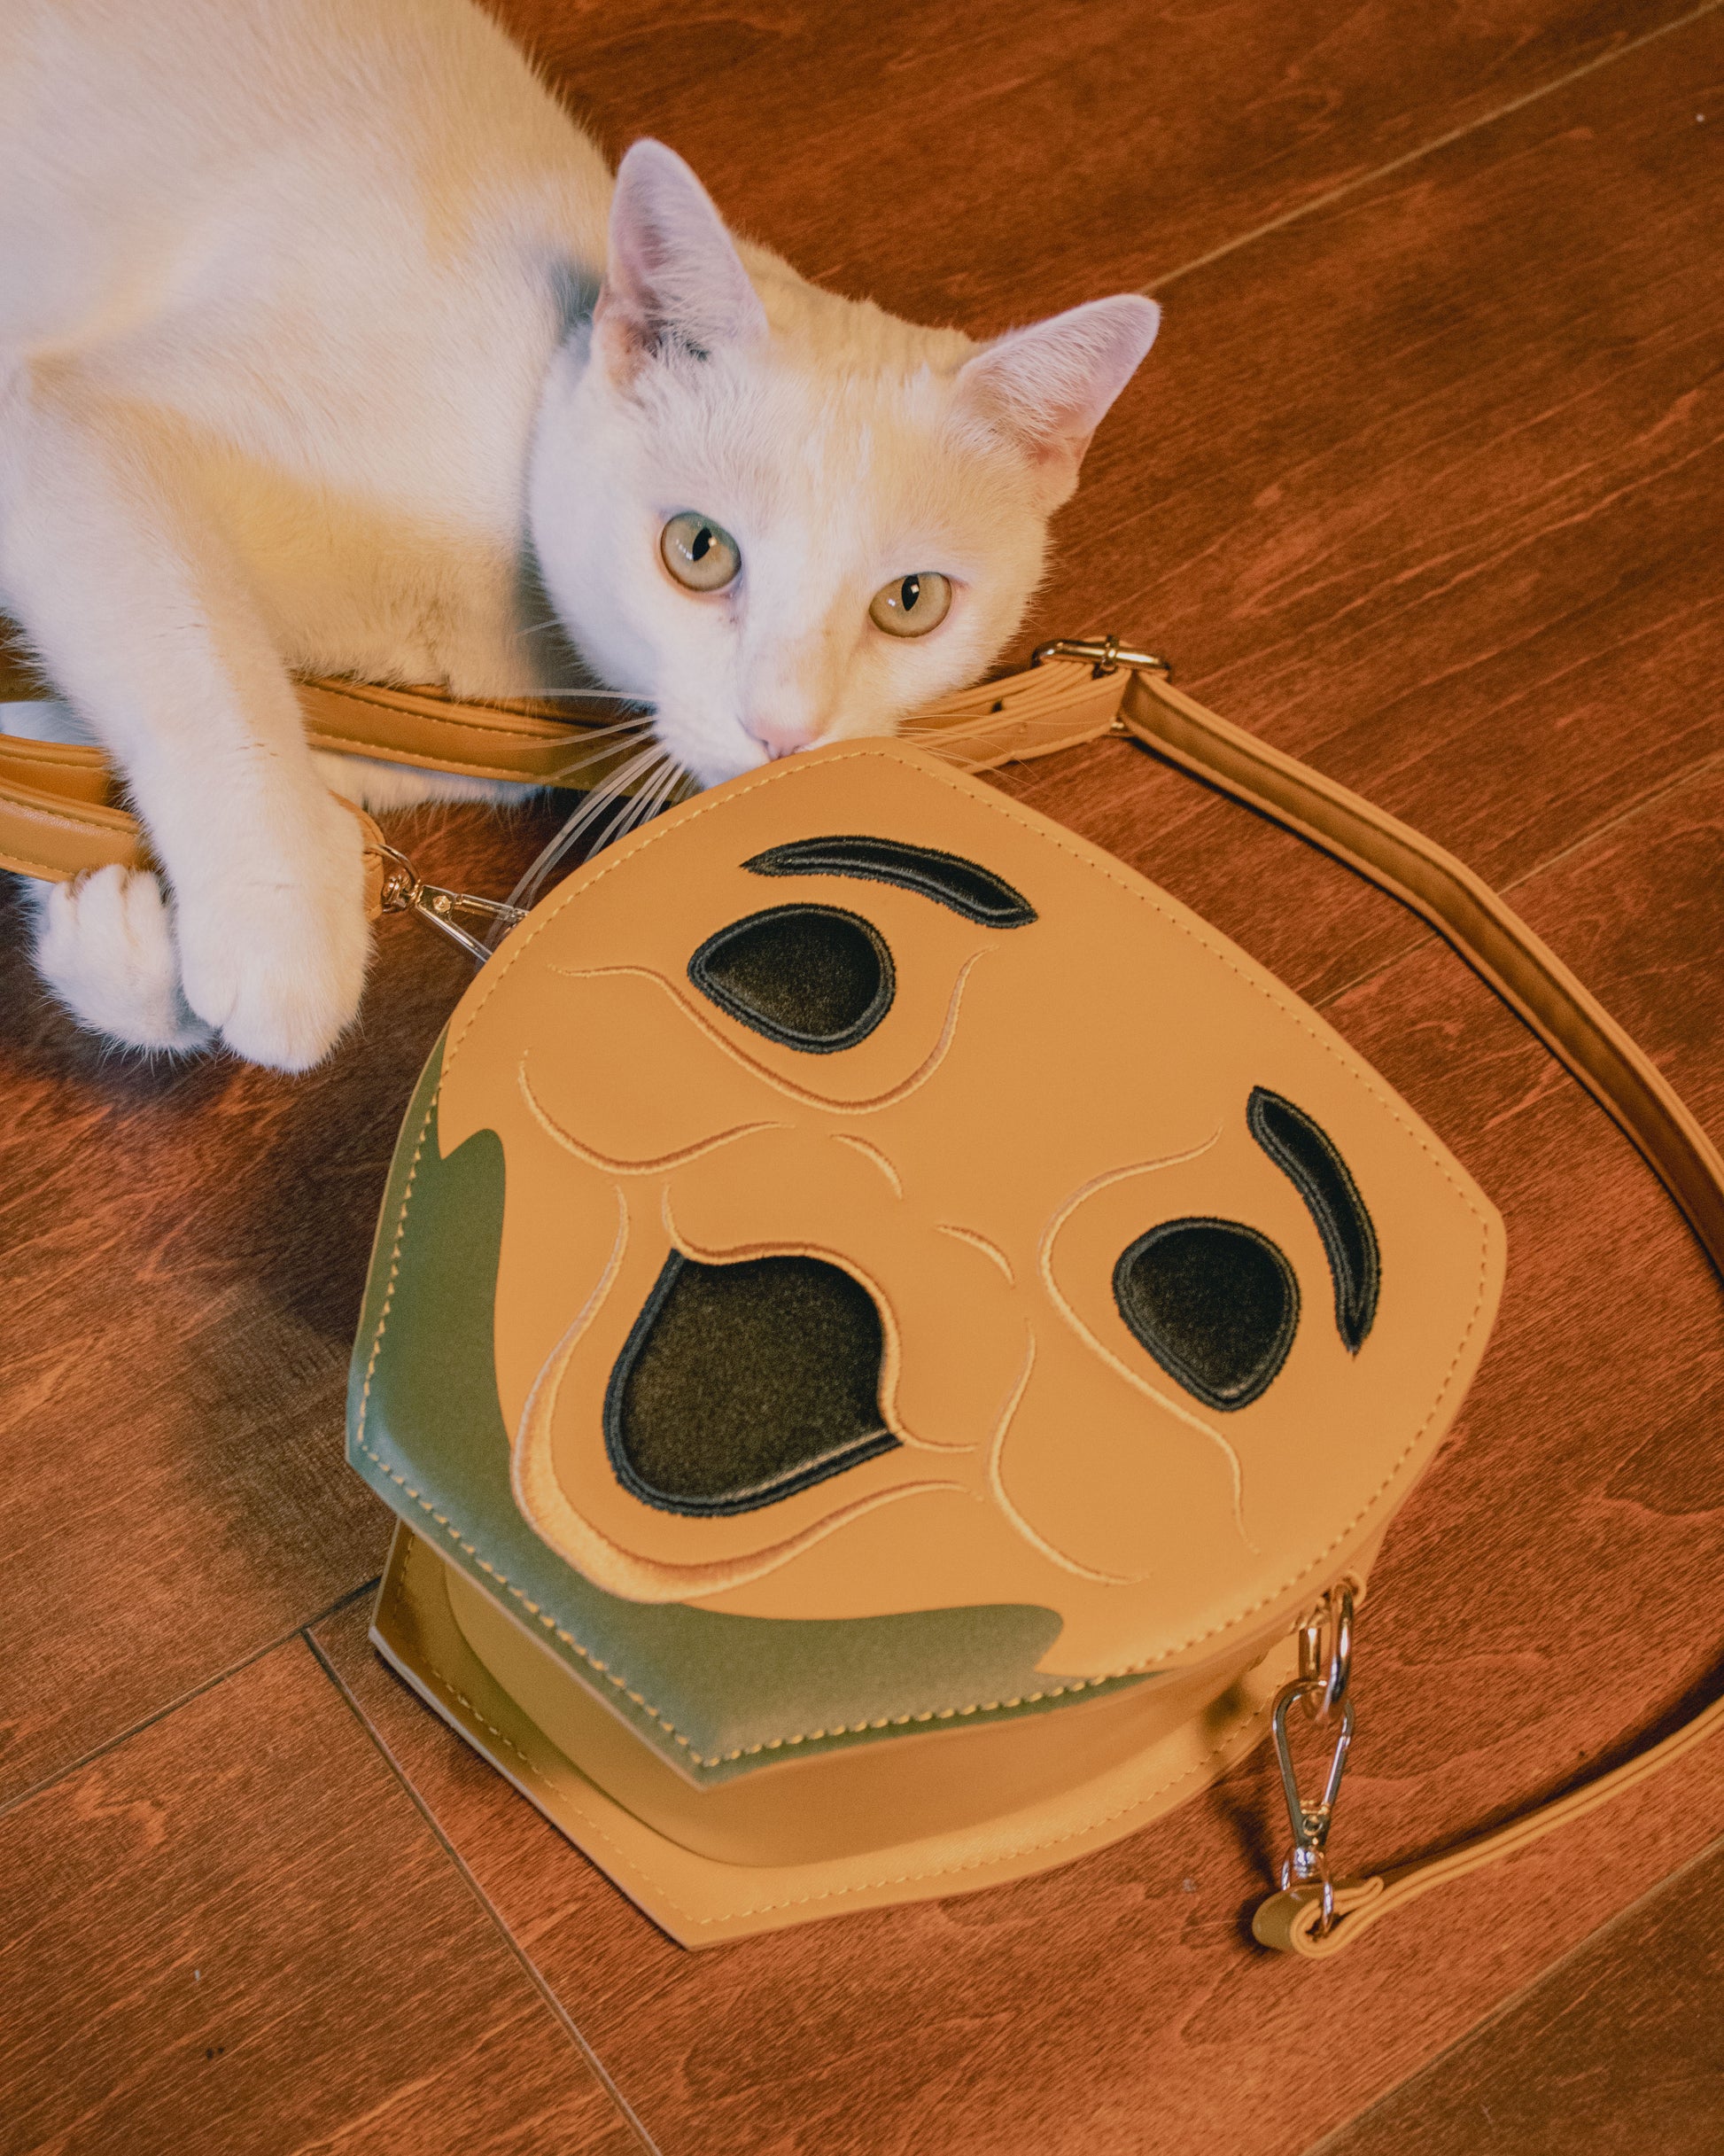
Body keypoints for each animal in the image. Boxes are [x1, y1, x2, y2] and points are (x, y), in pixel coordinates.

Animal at [3, 0, 1154, 1073]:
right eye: (698, 550)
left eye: (910, 603)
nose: (784, 732)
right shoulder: (73, 425)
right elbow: (206, 658)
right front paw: (279, 928)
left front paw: (117, 932)